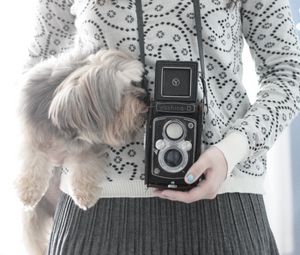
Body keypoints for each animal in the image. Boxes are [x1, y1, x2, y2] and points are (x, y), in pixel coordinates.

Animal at [14, 47, 148, 253]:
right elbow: (33, 161)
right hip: (32, 218)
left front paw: (84, 196)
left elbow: (85, 166)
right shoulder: (33, 136)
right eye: (121, 93)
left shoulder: (89, 148)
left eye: (134, 82)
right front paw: (28, 192)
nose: (145, 96)